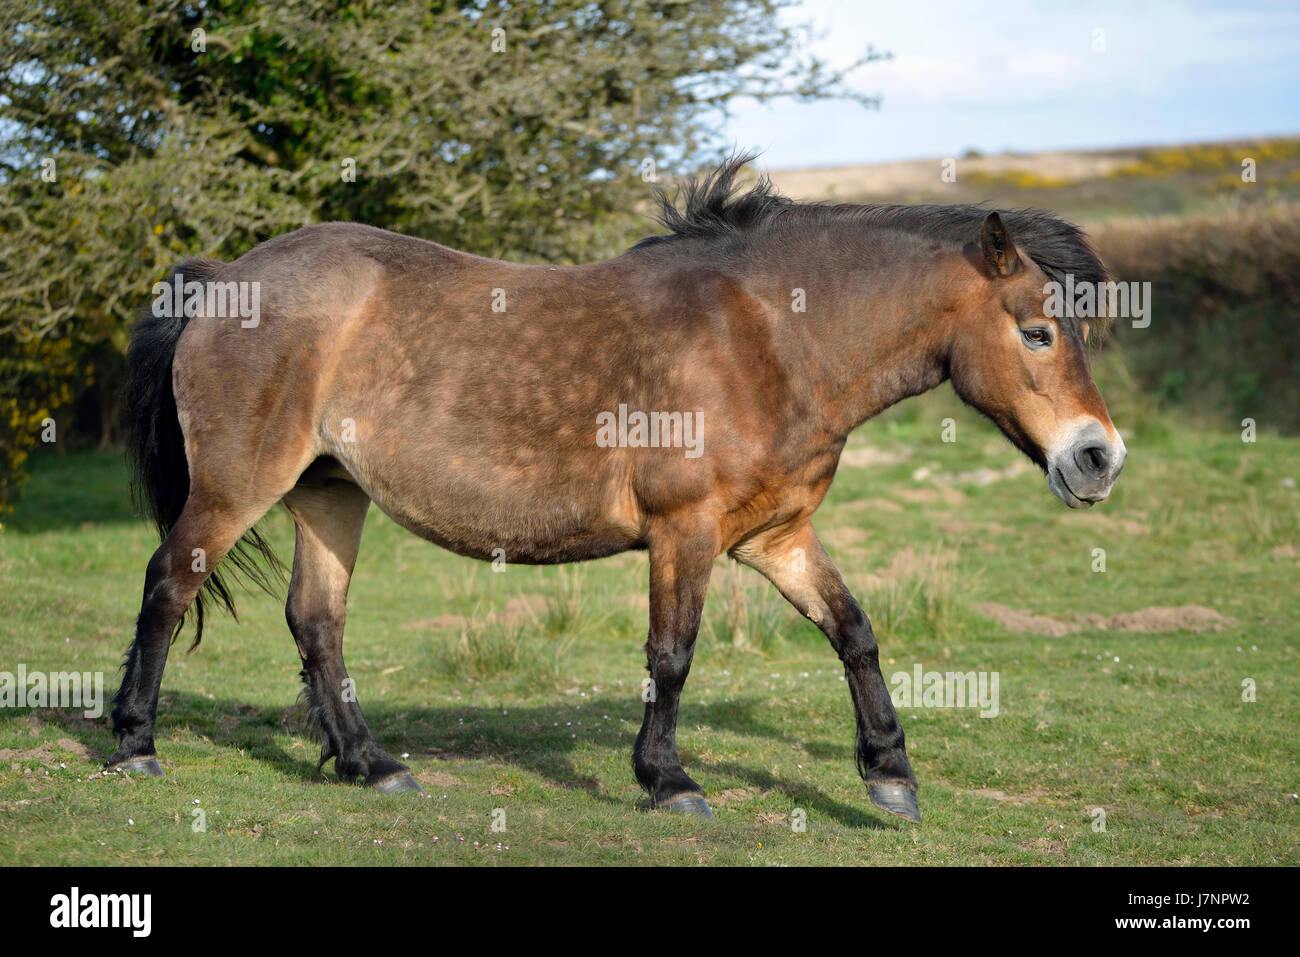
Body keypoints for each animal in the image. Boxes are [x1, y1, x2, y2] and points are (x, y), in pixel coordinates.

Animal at [109, 153, 1126, 824]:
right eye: (1038, 331)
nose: (1098, 458)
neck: (770, 339)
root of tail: (224, 276)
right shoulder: (687, 532)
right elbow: (671, 655)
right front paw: (669, 781)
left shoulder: (777, 537)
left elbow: (856, 631)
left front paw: (889, 772)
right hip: (238, 487)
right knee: (167, 586)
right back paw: (135, 746)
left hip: (329, 493)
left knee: (317, 621)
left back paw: (371, 763)